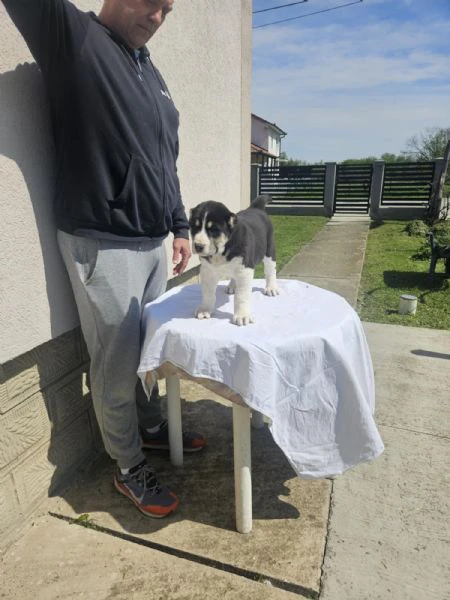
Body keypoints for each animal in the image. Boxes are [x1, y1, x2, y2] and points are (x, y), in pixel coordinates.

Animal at [189, 195, 279, 326]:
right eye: (194, 227)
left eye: (214, 229)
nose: (198, 246)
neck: (222, 250)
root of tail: (256, 208)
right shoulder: (207, 271)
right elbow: (208, 293)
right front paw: (205, 309)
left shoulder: (245, 270)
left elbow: (241, 296)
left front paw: (242, 316)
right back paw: (232, 286)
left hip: (269, 249)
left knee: (270, 270)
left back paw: (271, 288)